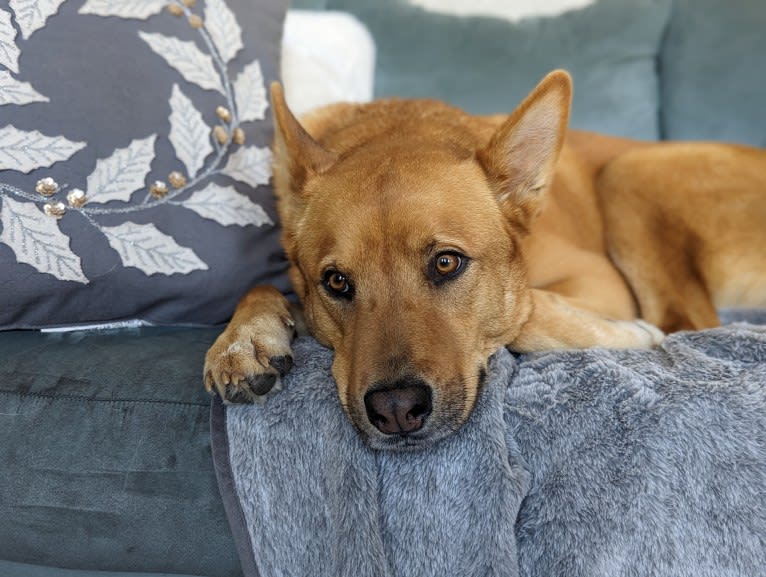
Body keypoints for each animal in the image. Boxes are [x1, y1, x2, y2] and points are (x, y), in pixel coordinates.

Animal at [204, 71, 766, 450]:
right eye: (338, 282)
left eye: (447, 264)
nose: (396, 411)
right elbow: (263, 287)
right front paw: (244, 338)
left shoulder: (598, 279)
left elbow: (526, 311)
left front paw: (628, 335)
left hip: (629, 172)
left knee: (684, 320)